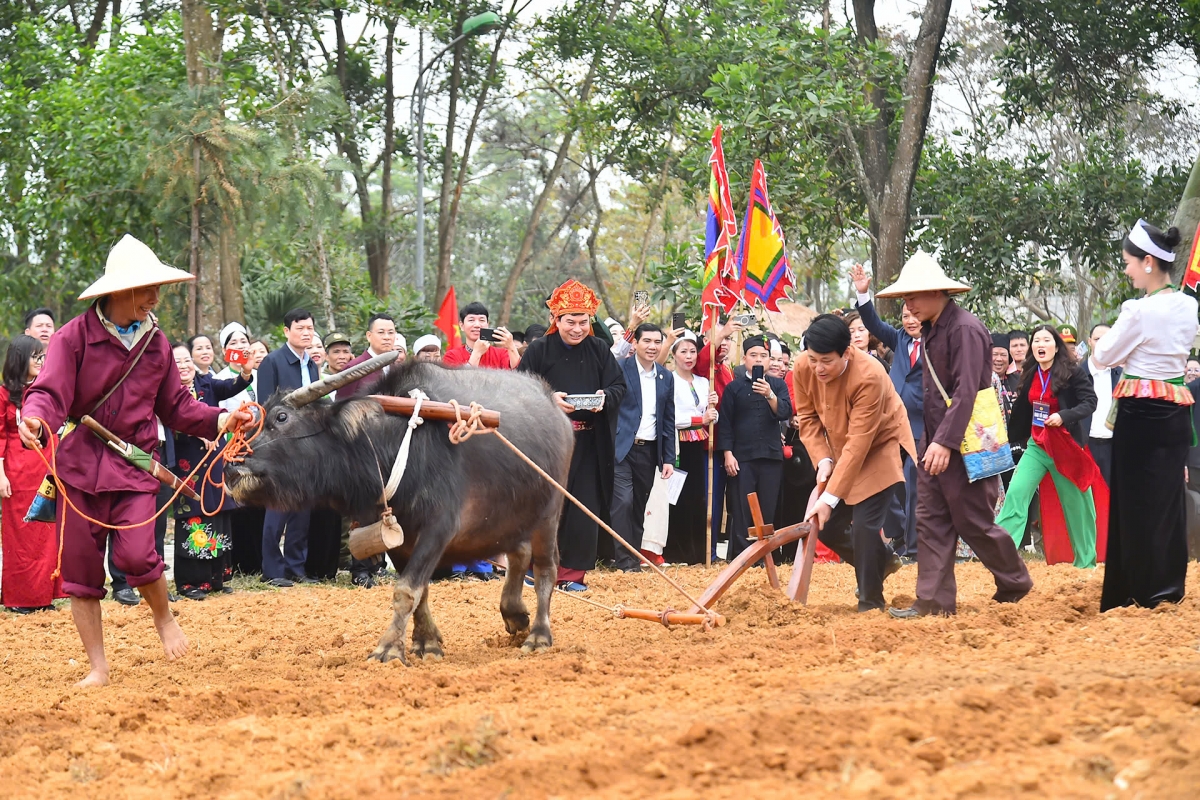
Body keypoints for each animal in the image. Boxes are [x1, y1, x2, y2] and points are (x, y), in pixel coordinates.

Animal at [228, 357, 576, 662]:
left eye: (281, 418)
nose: (232, 468)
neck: (396, 445)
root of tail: (558, 411)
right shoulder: (399, 537)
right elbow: (421, 593)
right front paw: (426, 642)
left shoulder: (439, 528)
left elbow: (407, 590)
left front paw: (388, 649)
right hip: (513, 513)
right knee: (518, 552)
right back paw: (515, 614)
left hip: (549, 512)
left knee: (545, 568)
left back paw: (539, 636)